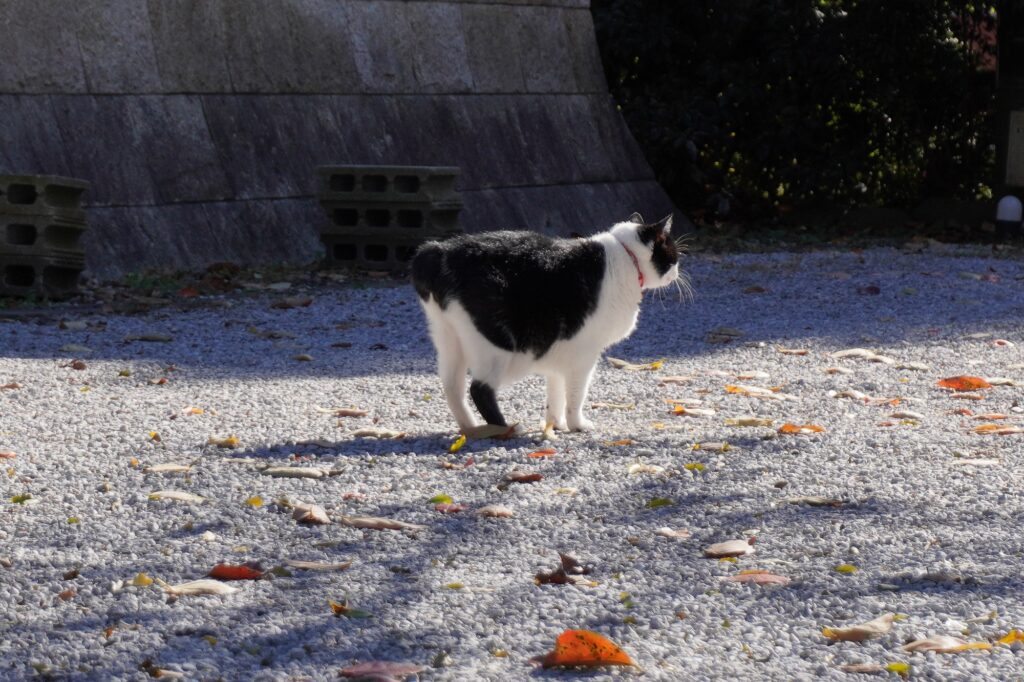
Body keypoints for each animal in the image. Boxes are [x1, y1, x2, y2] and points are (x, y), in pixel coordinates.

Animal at [407, 212, 679, 430]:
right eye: (673, 255)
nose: (677, 272)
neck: (625, 258)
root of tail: (439, 251)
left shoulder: (561, 350)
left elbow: (555, 392)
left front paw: (555, 424)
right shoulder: (584, 353)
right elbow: (575, 394)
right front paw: (577, 424)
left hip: (448, 339)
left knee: (452, 387)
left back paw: (471, 428)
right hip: (496, 346)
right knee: (480, 389)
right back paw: (504, 429)